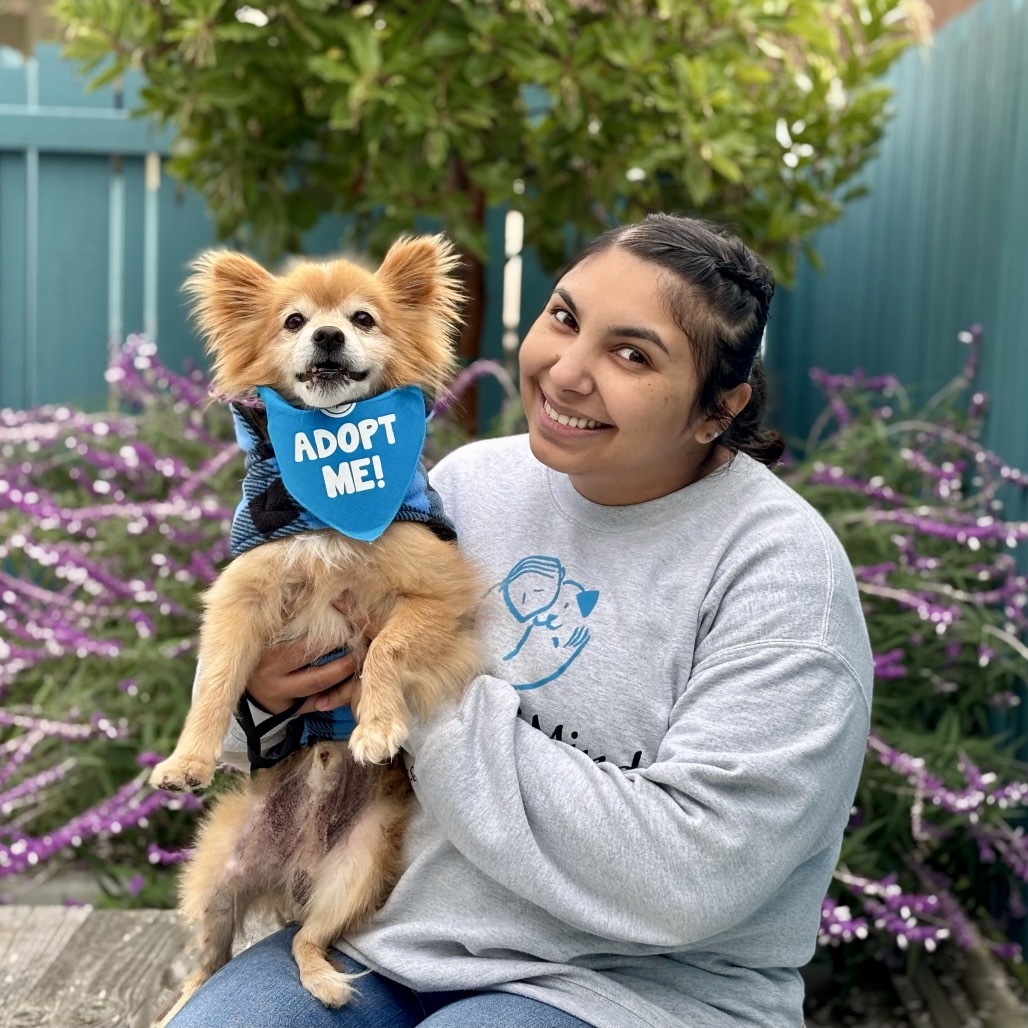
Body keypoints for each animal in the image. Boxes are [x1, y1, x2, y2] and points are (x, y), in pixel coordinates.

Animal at [150, 236, 479, 1023]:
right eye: (294, 321)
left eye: (362, 318)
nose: (328, 336)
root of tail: (289, 869)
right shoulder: (241, 595)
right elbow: (216, 683)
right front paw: (187, 759)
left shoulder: (440, 592)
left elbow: (386, 647)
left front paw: (376, 725)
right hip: (218, 876)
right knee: (207, 959)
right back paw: (185, 1000)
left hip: (354, 870)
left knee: (308, 941)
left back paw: (328, 983)